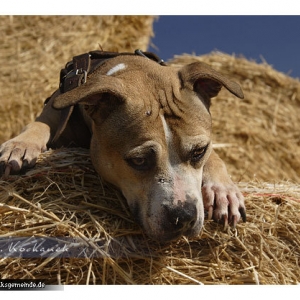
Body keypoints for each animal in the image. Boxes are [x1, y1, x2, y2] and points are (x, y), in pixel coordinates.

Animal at [0, 50, 246, 243]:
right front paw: (20, 144)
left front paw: (223, 190)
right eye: (139, 160)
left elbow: (215, 157)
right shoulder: (55, 110)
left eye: (198, 152)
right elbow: (38, 124)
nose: (183, 216)